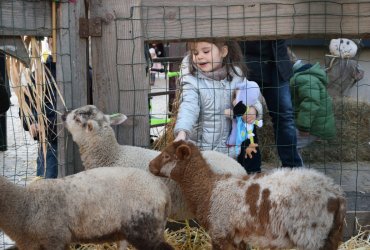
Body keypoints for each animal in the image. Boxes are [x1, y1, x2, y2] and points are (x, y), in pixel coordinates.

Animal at [149, 141, 346, 250]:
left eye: (166, 156)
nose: (150, 166)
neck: (209, 188)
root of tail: (336, 193)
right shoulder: (238, 237)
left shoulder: (220, 232)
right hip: (329, 237)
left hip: (311, 236)